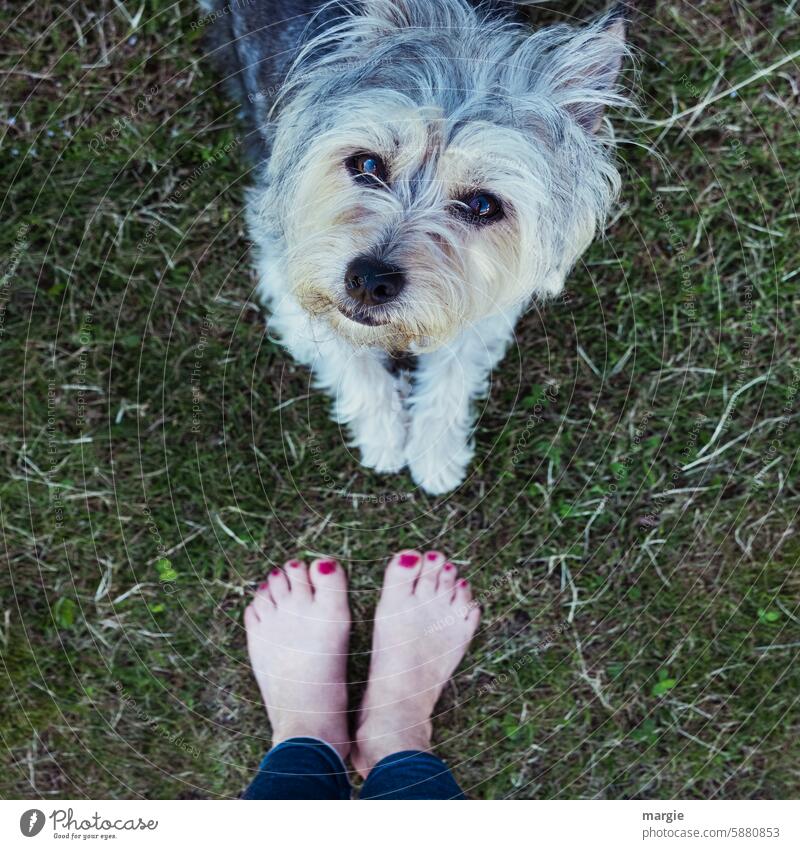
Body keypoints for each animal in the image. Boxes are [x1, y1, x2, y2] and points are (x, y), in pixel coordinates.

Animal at [206, 0, 632, 494]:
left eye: (482, 205)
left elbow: (453, 371)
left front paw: (435, 453)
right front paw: (384, 438)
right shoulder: (288, 273)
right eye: (368, 164)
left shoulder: (484, 296)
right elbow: (350, 362)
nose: (369, 281)